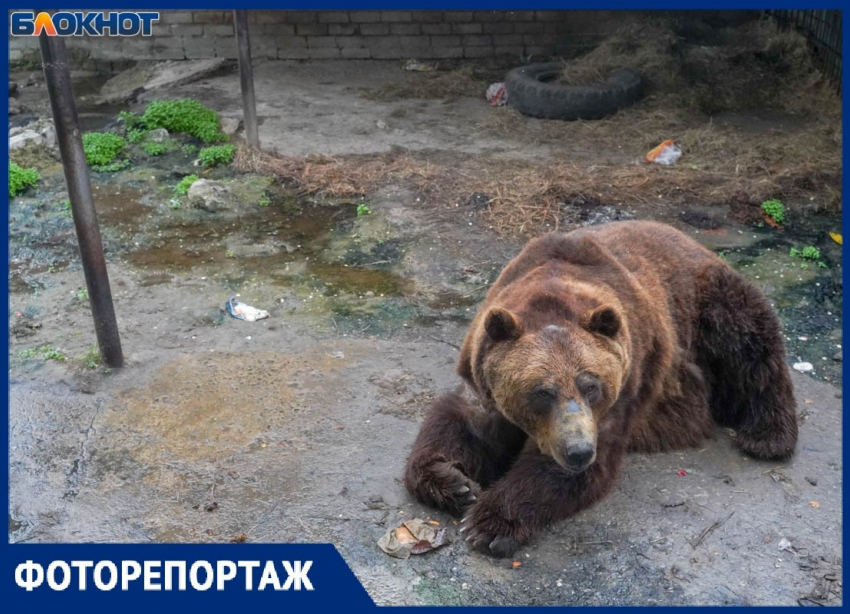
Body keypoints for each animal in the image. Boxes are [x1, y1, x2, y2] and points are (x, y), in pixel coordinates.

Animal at [404, 220, 797, 558]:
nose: (578, 451)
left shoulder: (625, 388)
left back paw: (767, 436)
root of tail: (692, 240)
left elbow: (576, 470)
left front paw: (490, 524)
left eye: (590, 385)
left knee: (750, 341)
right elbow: (462, 426)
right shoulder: (482, 376)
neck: (555, 288)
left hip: (707, 302)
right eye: (541, 392)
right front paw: (454, 483)